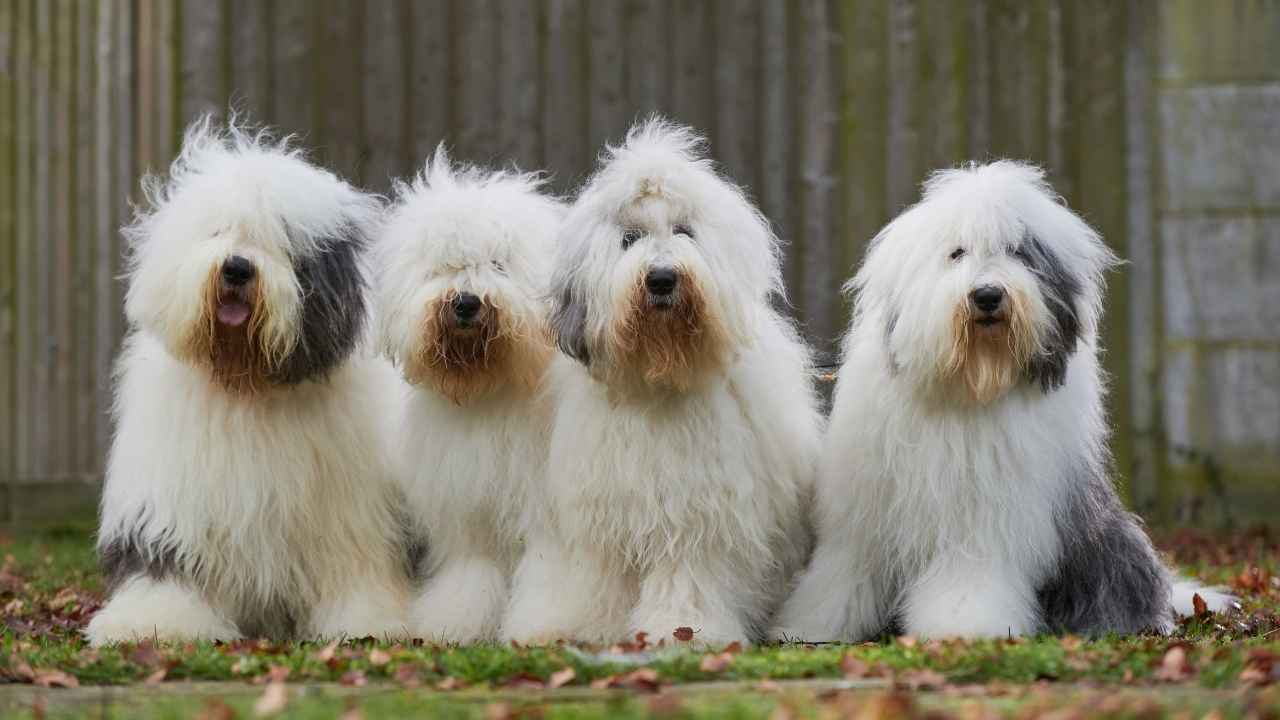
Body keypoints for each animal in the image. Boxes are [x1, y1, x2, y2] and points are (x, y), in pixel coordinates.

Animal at [87, 119, 407, 645]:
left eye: (280, 241)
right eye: (218, 230)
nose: (237, 267)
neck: (247, 382)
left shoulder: (351, 514)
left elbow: (356, 567)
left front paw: (370, 621)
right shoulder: (173, 504)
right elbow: (168, 565)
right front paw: (153, 622)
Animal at [373, 148, 565, 640]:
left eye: (499, 265)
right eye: (442, 268)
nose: (465, 302)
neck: (490, 391)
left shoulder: (544, 513)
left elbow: (548, 571)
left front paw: (541, 623)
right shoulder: (469, 509)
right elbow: (472, 574)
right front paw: (453, 622)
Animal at [499, 117, 819, 645]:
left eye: (684, 231)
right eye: (629, 238)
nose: (663, 278)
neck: (657, 379)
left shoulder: (698, 515)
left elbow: (686, 578)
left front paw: (679, 631)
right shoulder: (605, 515)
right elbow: (601, 579)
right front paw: (593, 628)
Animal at [768, 161, 1228, 638]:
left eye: (1017, 253)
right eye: (957, 253)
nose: (987, 295)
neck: (972, 383)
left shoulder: (984, 520)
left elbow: (970, 573)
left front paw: (964, 625)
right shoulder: (863, 518)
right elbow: (843, 573)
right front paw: (809, 625)